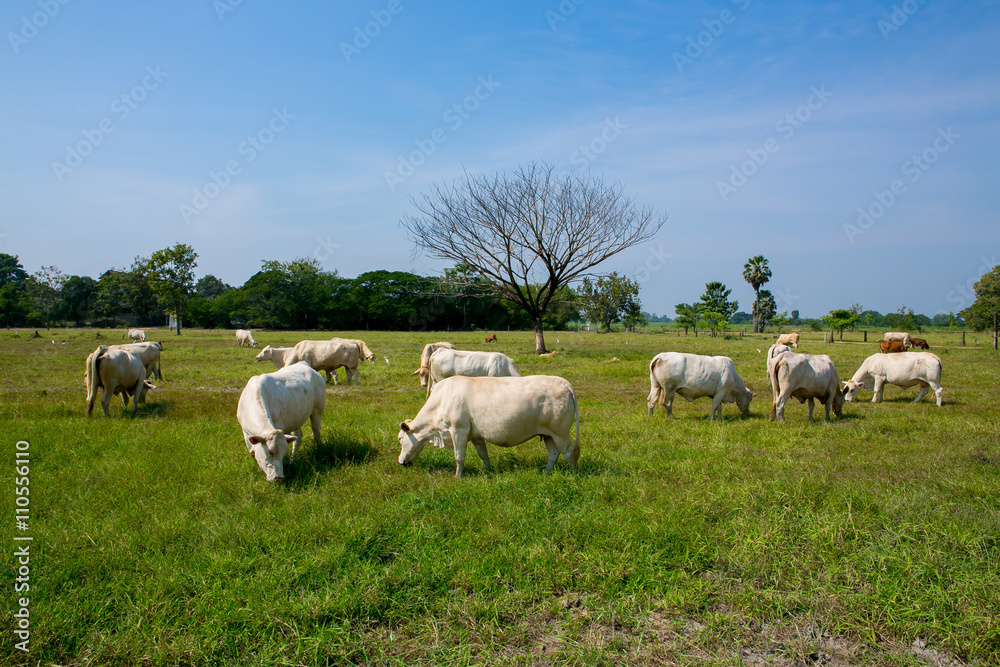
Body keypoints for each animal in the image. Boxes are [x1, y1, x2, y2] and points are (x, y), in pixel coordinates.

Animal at [396, 376, 584, 480]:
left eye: (400, 438)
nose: (400, 461)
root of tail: (561, 381)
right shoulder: (475, 435)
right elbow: (483, 454)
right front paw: (488, 470)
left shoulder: (458, 430)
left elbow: (459, 456)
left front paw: (458, 476)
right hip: (548, 434)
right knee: (553, 453)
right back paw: (546, 472)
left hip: (560, 433)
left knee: (568, 451)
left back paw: (573, 473)